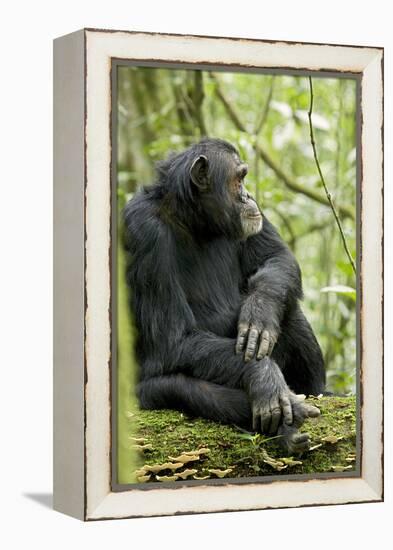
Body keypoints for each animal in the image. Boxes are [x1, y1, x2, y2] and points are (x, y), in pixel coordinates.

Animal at [125, 139, 324, 458]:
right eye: (239, 179)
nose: (249, 195)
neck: (194, 220)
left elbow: (276, 256)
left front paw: (259, 312)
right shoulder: (142, 232)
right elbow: (172, 340)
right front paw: (263, 374)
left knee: (288, 306)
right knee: (179, 387)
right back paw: (288, 424)